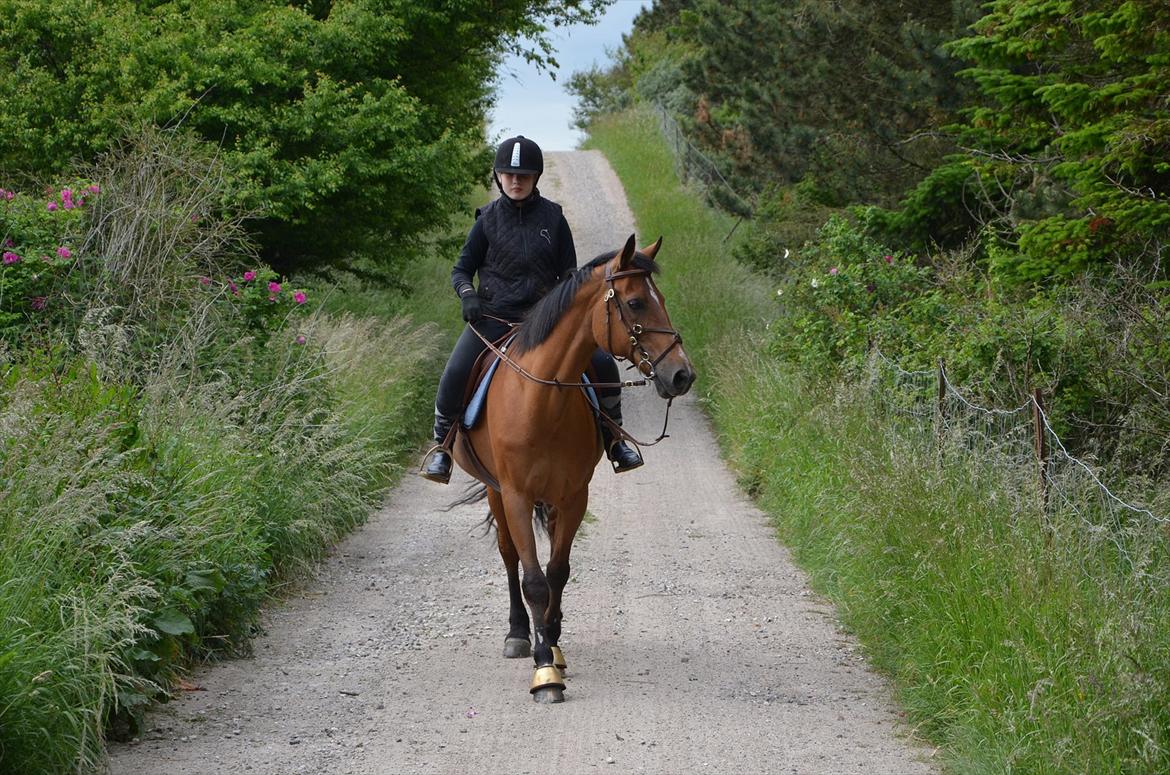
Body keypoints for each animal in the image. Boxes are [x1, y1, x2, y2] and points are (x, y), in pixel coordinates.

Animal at [449, 235, 692, 702]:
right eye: (635, 303)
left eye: (661, 300)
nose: (682, 375)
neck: (542, 402)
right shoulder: (516, 496)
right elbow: (533, 580)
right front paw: (544, 671)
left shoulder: (574, 495)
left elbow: (557, 573)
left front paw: (555, 646)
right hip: (495, 492)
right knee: (509, 557)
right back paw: (519, 635)